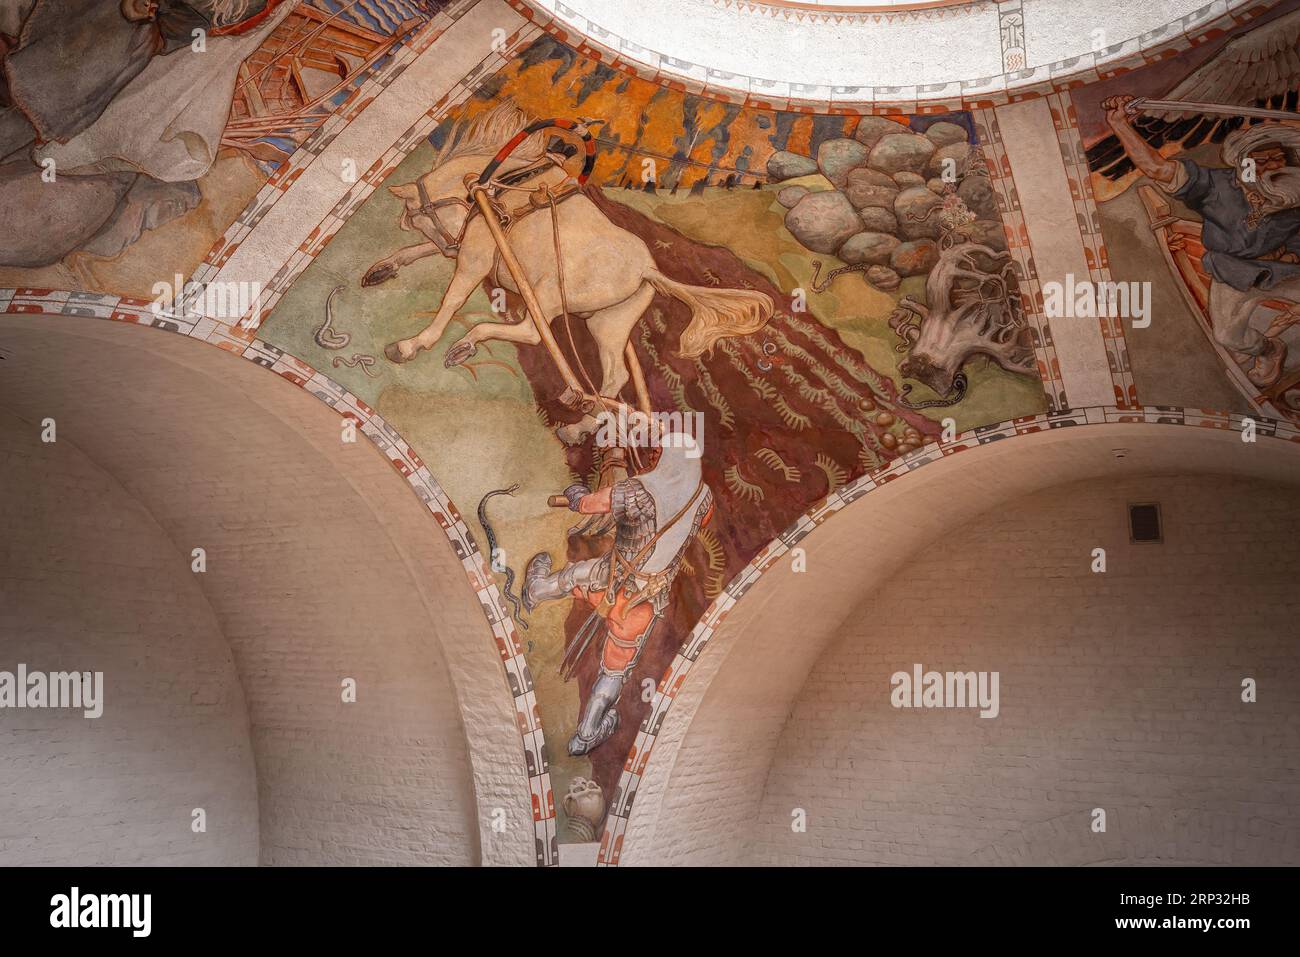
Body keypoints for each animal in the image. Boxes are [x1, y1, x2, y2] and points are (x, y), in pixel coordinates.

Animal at [366, 98, 769, 442]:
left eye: (415, 217)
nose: (449, 242)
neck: (494, 184)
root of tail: (647, 271)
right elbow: (418, 252)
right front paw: (383, 268)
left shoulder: (474, 258)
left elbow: (450, 302)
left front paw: (412, 344)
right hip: (606, 324)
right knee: (613, 379)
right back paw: (581, 427)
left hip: (546, 294)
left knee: (533, 334)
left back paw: (468, 344)